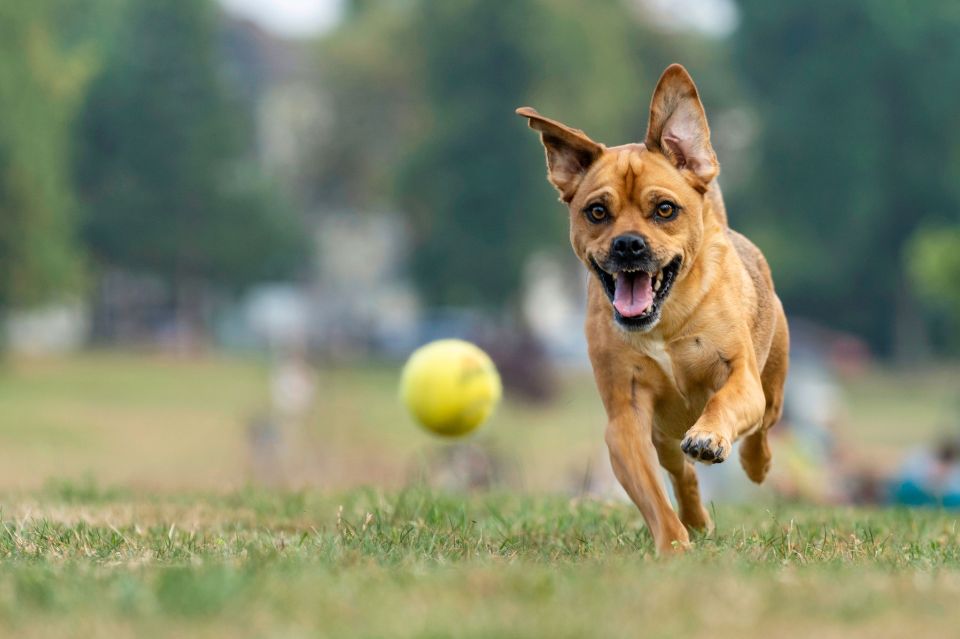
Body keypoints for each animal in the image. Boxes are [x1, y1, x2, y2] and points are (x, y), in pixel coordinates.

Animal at [516, 66, 788, 556]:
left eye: (664, 209)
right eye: (596, 211)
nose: (628, 244)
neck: (663, 322)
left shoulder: (739, 376)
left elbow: (724, 401)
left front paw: (709, 436)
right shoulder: (625, 422)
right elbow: (654, 497)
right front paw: (674, 546)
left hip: (772, 385)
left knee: (761, 428)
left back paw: (755, 465)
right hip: (663, 436)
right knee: (681, 474)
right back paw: (696, 520)